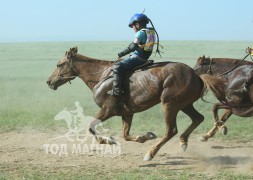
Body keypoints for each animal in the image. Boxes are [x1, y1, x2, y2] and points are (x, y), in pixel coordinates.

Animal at [47, 47, 225, 161]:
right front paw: (145, 136)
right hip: (185, 105)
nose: (49, 82)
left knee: (171, 130)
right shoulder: (127, 113)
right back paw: (183, 142)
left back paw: (150, 154)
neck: (102, 76)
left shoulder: (107, 110)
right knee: (198, 118)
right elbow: (125, 135)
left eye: (59, 64)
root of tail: (196, 75)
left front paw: (108, 140)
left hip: (169, 105)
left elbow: (91, 127)